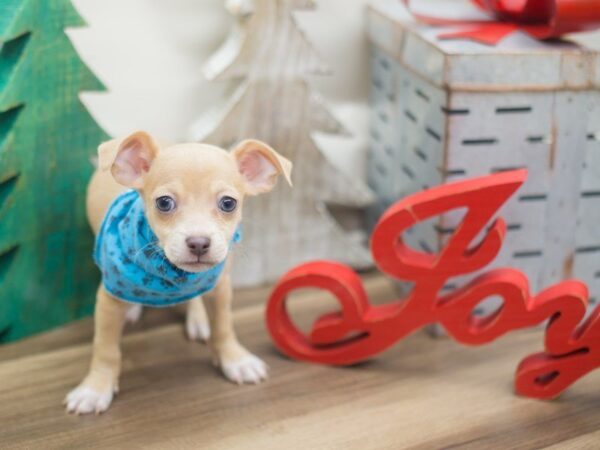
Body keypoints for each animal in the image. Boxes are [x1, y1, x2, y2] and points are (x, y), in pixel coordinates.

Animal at [63, 131, 292, 414]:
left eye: (228, 203)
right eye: (164, 203)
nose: (199, 243)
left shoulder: (220, 287)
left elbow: (224, 327)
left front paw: (235, 360)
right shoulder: (108, 301)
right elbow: (105, 349)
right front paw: (95, 389)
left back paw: (197, 319)